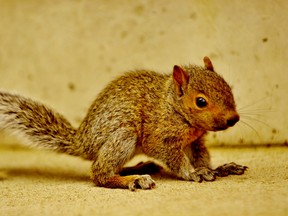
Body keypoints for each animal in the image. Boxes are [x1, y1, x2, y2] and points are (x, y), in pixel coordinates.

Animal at [0, 56, 248, 190]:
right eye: (200, 101)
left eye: (227, 87)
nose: (233, 118)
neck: (172, 107)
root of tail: (82, 142)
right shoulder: (160, 138)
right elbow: (176, 160)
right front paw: (194, 173)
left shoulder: (195, 141)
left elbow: (201, 157)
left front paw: (217, 169)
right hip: (124, 136)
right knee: (98, 173)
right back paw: (135, 179)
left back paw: (139, 168)